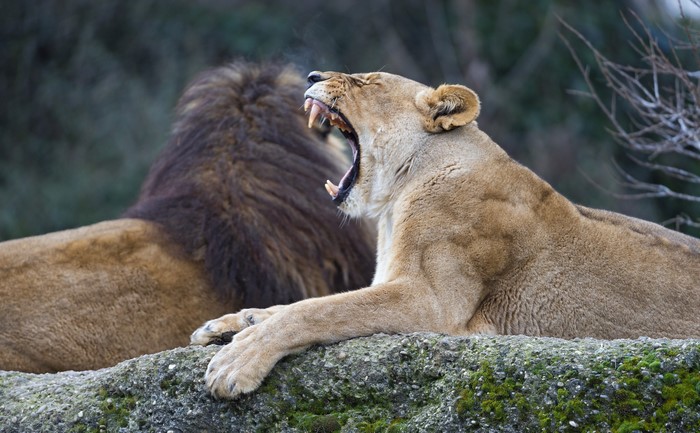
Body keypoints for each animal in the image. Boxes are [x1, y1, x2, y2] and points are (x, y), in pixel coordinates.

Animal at [191, 70, 700, 399]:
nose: (312, 72)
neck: (398, 197)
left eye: (366, 81)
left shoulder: (432, 302)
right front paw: (229, 324)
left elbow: (321, 310)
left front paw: (237, 362)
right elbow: (300, 305)